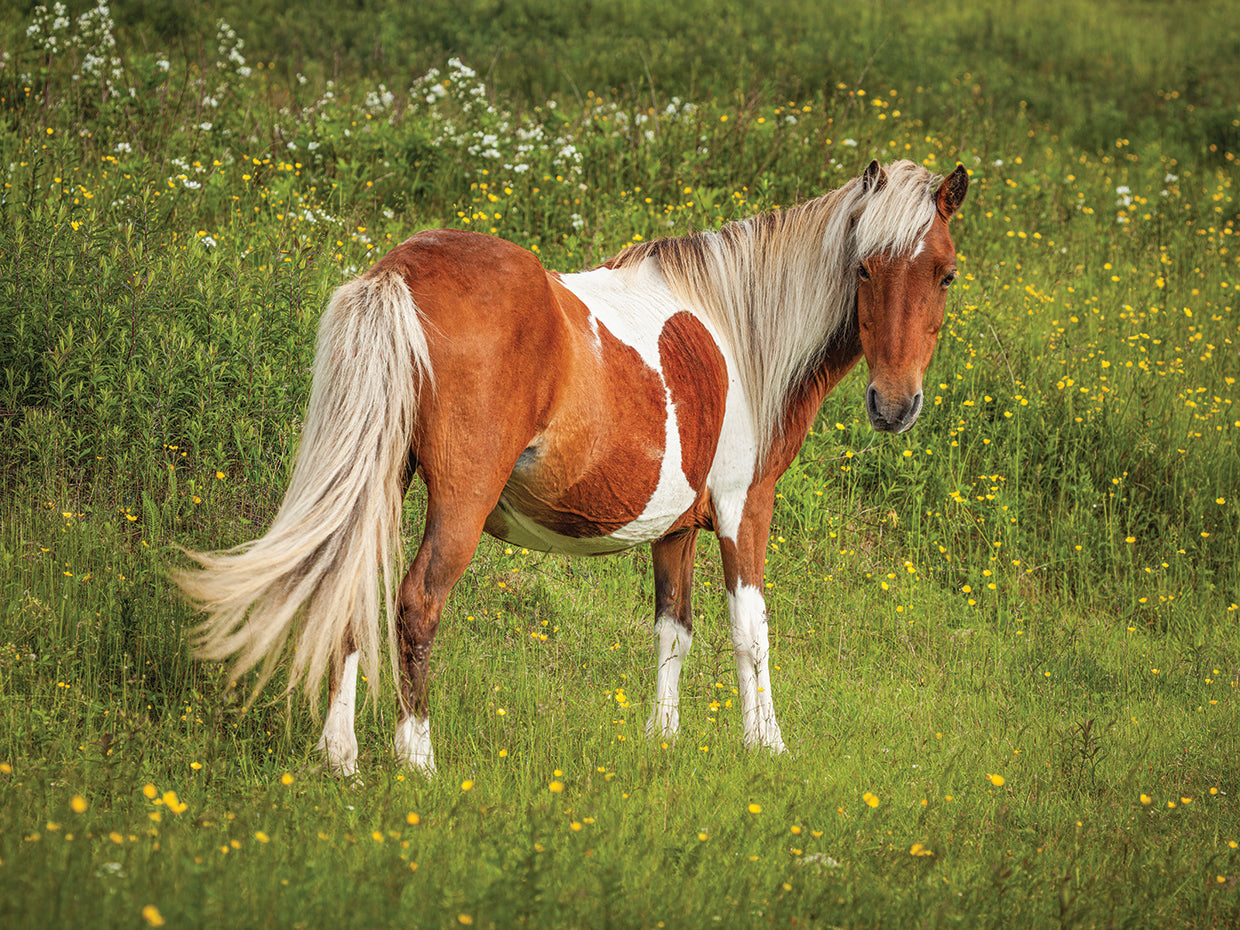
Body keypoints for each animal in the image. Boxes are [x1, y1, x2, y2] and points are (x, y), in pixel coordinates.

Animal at [175, 158, 969, 776]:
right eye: (864, 266)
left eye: (945, 274)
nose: (894, 405)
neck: (738, 330)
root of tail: (400, 272)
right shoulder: (746, 506)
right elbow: (751, 630)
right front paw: (765, 745)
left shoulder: (676, 528)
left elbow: (674, 629)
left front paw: (662, 739)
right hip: (458, 503)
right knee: (417, 603)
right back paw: (417, 757)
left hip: (380, 481)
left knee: (350, 587)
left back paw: (339, 755)